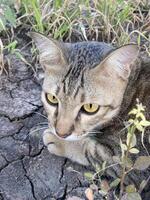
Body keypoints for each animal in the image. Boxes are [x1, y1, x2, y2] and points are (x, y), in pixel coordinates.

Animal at [29, 32, 150, 193]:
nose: (61, 133)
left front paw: (57, 141)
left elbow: (91, 151)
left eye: (90, 107)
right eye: (52, 98)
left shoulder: (131, 164)